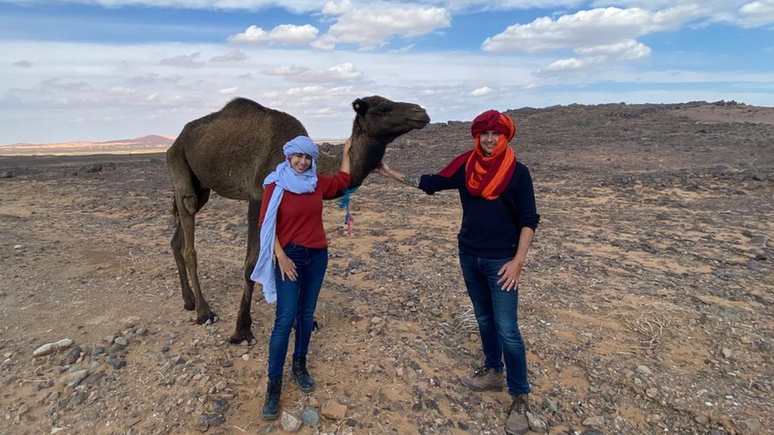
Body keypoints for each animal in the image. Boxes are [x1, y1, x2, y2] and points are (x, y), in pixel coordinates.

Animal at [167, 96, 430, 344]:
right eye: (383, 108)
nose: (421, 112)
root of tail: (177, 139)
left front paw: (301, 322)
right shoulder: (258, 197)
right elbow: (252, 262)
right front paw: (242, 329)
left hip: (201, 185)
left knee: (176, 238)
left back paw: (188, 300)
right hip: (178, 162)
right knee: (188, 229)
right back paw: (204, 312)